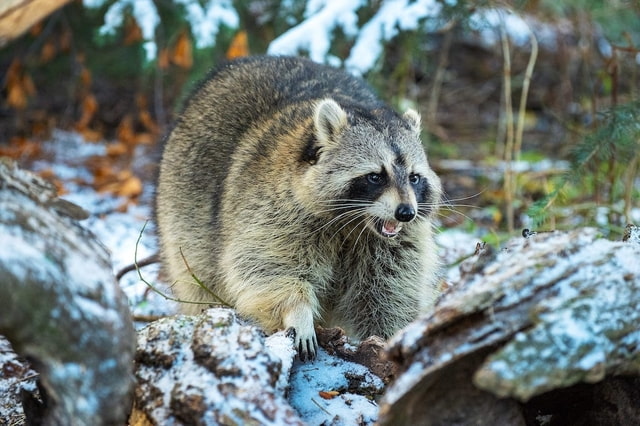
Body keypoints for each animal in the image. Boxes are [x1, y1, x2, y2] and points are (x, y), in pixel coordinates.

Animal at [158, 54, 442, 360]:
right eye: (375, 176)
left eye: (414, 177)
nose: (406, 213)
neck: (354, 225)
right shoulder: (270, 210)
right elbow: (266, 267)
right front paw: (297, 311)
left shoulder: (397, 243)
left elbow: (389, 290)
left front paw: (390, 337)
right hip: (184, 209)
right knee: (199, 277)